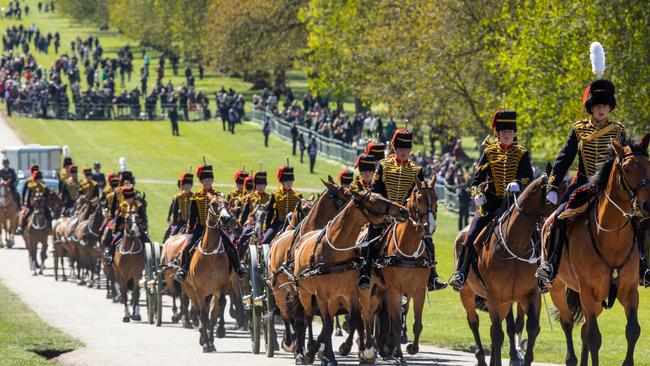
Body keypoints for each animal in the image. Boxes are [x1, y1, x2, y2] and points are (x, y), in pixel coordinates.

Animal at [180, 194, 233, 352]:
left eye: (227, 203)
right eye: (214, 204)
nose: (226, 218)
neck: (210, 255)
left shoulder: (222, 287)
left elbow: (220, 308)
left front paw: (220, 331)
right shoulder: (199, 290)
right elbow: (203, 315)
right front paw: (205, 343)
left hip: (211, 292)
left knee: (212, 314)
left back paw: (210, 339)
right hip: (191, 290)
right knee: (199, 311)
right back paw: (204, 339)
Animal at [264, 177, 350, 360]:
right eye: (344, 196)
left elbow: (319, 319)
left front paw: (315, 348)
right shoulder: (301, 289)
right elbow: (300, 319)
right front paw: (302, 350)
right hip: (279, 289)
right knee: (286, 314)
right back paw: (289, 342)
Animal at [294, 190, 410, 364]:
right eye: (373, 200)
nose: (403, 211)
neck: (335, 250)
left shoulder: (351, 292)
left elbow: (356, 320)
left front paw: (363, 353)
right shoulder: (321, 295)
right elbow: (327, 324)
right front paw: (330, 357)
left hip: (335, 297)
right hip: (305, 293)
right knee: (307, 318)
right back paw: (306, 352)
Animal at [454, 169, 556, 366]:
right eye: (551, 195)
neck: (515, 244)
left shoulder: (530, 294)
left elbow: (531, 327)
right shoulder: (495, 294)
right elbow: (498, 333)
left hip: (504, 301)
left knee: (497, 327)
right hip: (468, 293)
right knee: (474, 322)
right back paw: (481, 357)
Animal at [540, 136, 648, 366]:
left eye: (649, 166)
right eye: (627, 168)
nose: (647, 205)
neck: (611, 237)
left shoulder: (629, 290)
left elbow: (633, 331)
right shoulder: (588, 292)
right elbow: (594, 337)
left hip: (598, 300)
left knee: (583, 327)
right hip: (558, 288)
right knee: (568, 323)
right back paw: (571, 358)